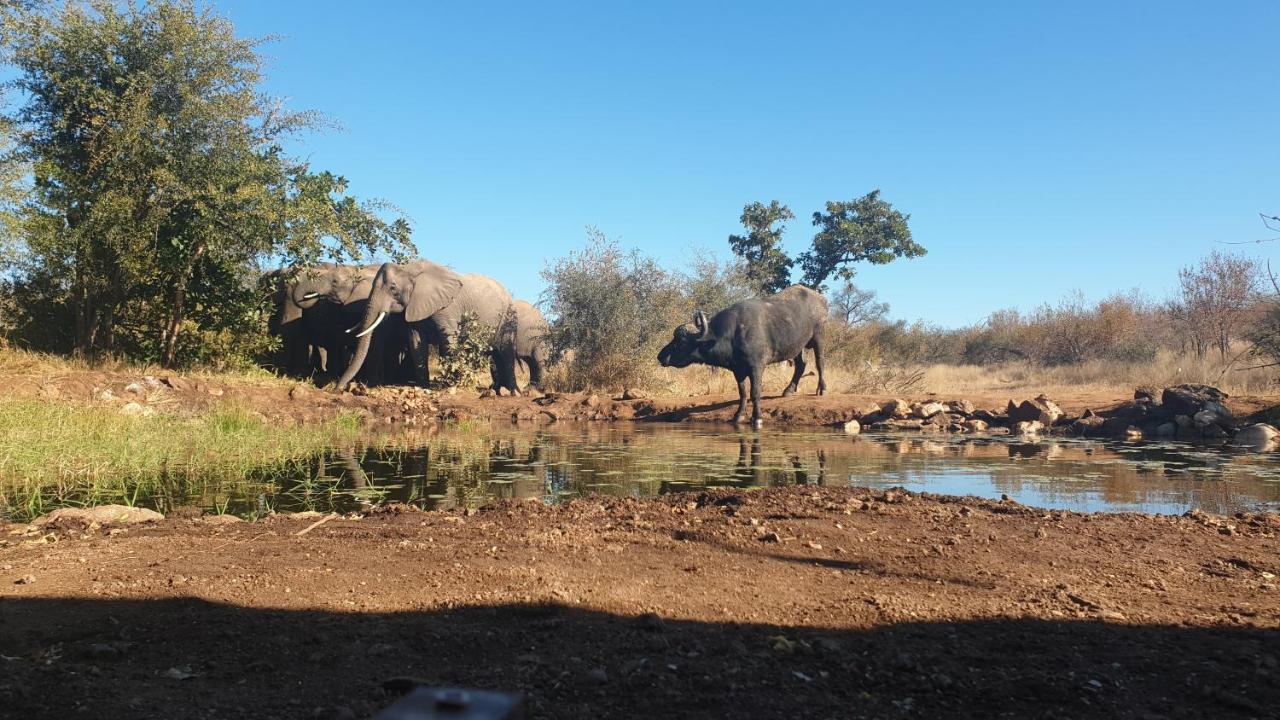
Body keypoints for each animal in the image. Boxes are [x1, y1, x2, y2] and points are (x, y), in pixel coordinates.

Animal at [340, 260, 524, 389]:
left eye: (393, 288)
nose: (337, 388)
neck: (411, 270)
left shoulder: (448, 308)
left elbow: (449, 340)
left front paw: (452, 385)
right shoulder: (415, 307)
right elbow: (416, 342)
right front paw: (423, 386)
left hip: (508, 316)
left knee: (505, 351)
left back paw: (513, 392)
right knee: (495, 354)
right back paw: (498, 389)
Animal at [660, 281, 829, 425]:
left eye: (681, 342)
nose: (660, 356)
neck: (733, 335)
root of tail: (820, 298)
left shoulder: (757, 367)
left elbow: (755, 392)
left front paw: (757, 417)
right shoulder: (738, 370)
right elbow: (743, 393)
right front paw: (738, 415)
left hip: (819, 336)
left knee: (820, 362)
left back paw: (822, 389)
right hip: (798, 345)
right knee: (801, 364)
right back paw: (789, 390)